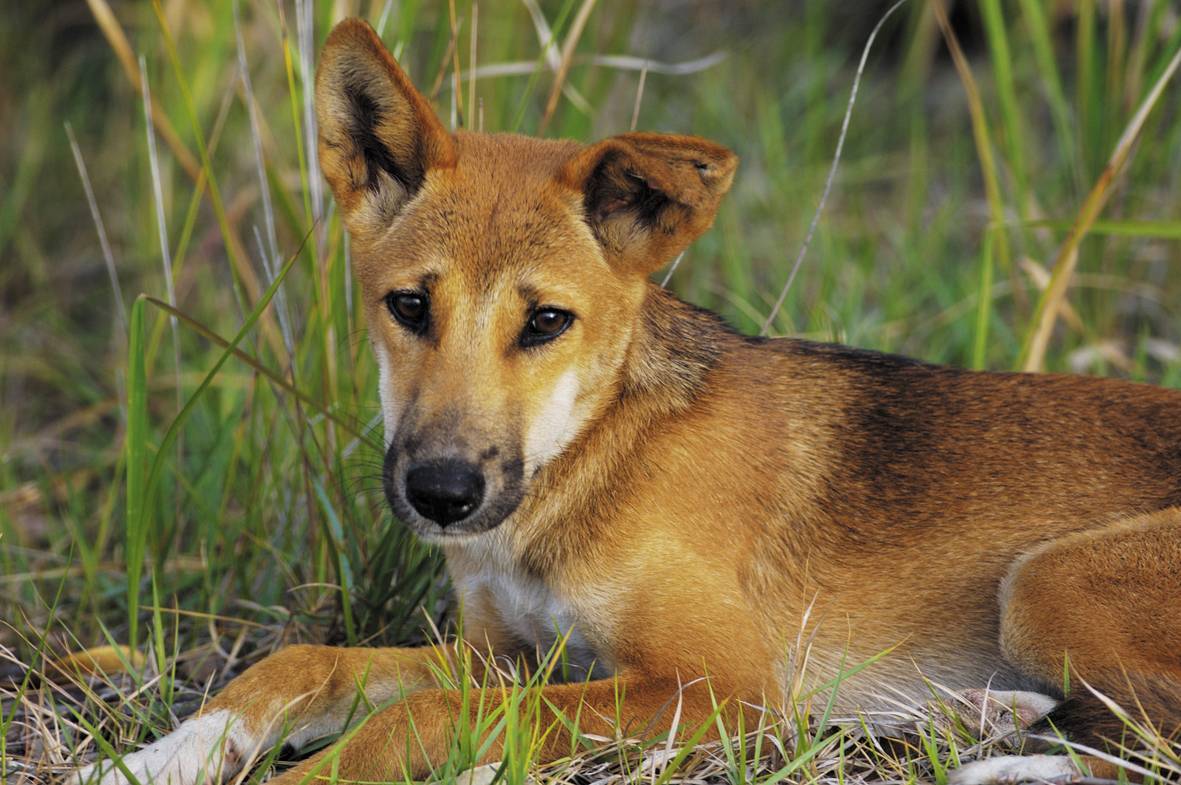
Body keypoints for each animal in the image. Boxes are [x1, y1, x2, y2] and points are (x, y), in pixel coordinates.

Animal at [76, 18, 1181, 783]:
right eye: (408, 305)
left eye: (546, 321)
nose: (441, 493)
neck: (588, 459)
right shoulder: (501, 654)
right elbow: (306, 661)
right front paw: (156, 754)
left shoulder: (713, 686)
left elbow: (415, 717)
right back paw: (985, 718)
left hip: (1045, 578)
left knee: (1151, 748)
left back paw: (997, 753)